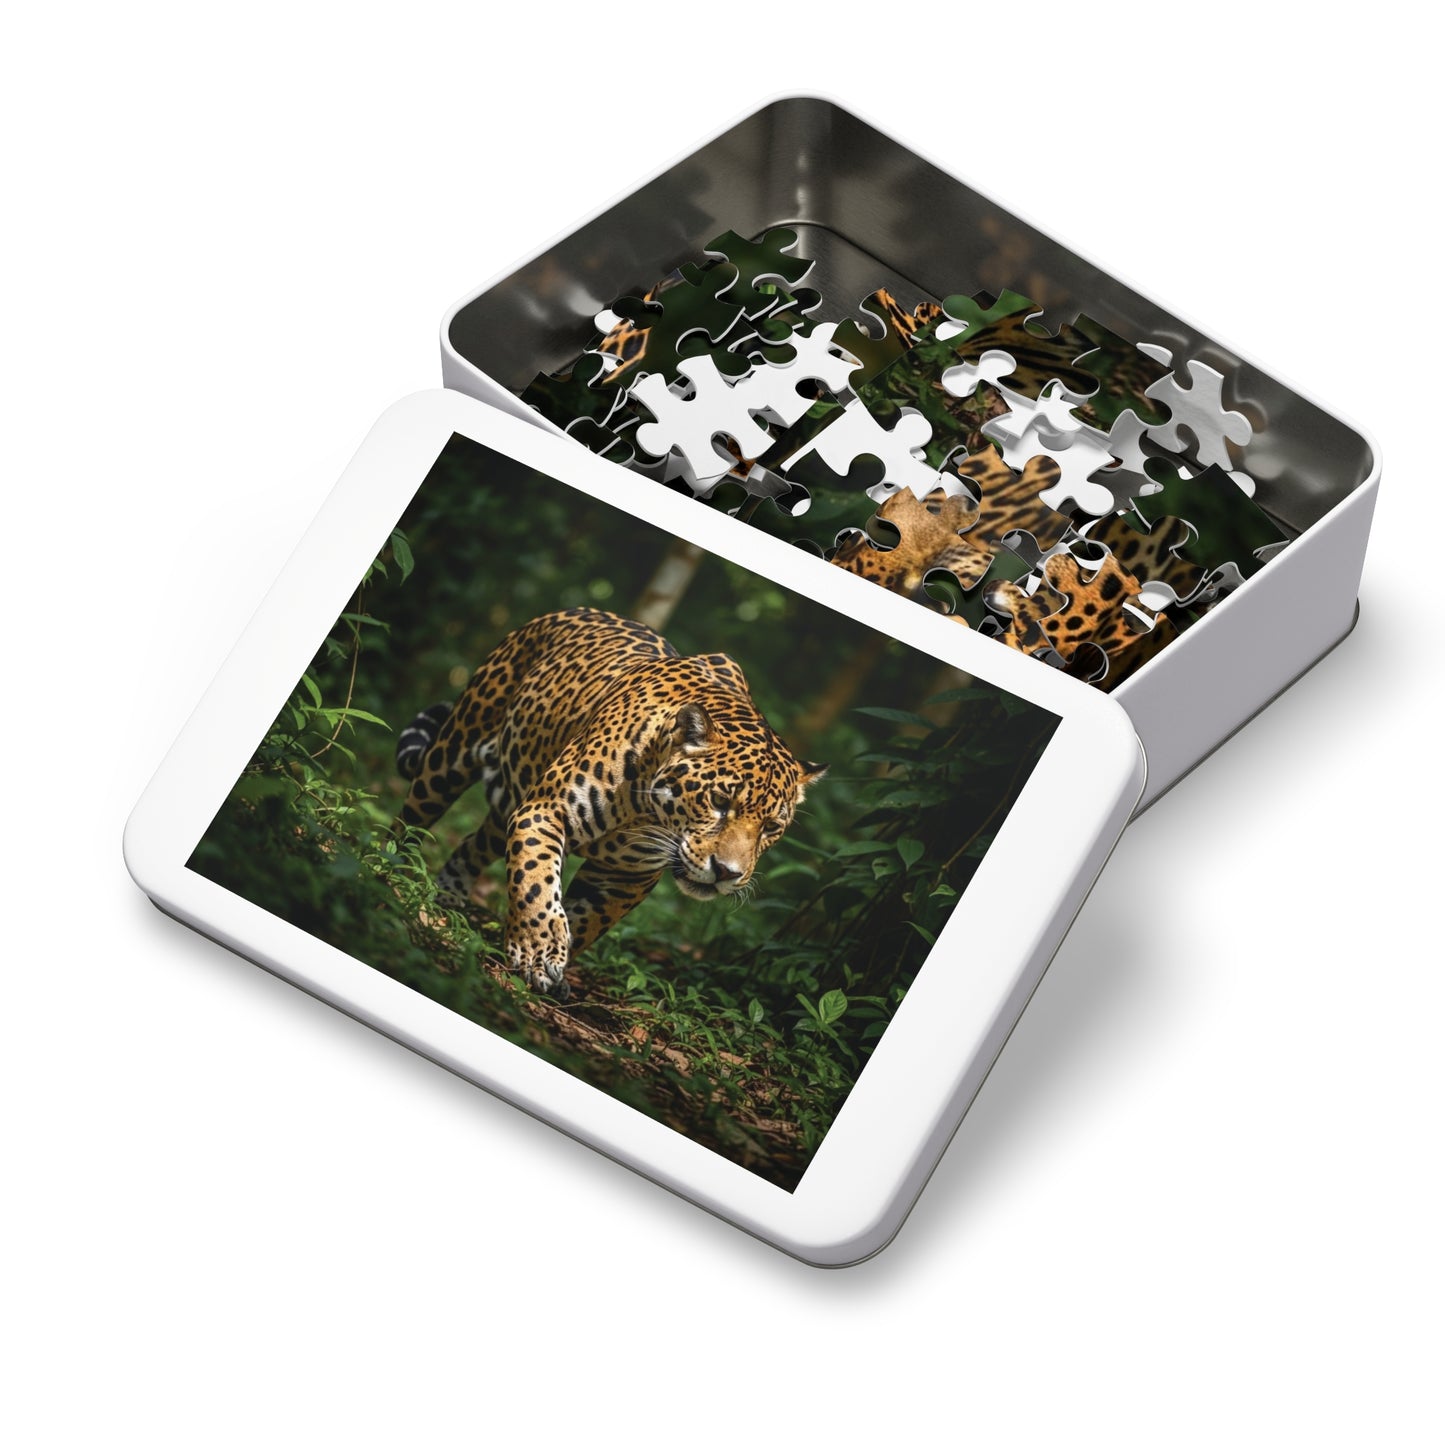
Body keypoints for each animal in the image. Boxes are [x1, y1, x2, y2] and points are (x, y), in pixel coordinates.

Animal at [395, 608, 826, 1000]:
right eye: (719, 801)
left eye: (771, 828)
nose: (726, 873)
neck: (646, 812)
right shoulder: (544, 810)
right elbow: (536, 881)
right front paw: (537, 953)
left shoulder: (627, 876)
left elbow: (587, 920)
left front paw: (551, 963)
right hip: (451, 756)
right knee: (411, 821)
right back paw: (396, 875)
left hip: (508, 802)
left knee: (473, 844)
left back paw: (448, 896)